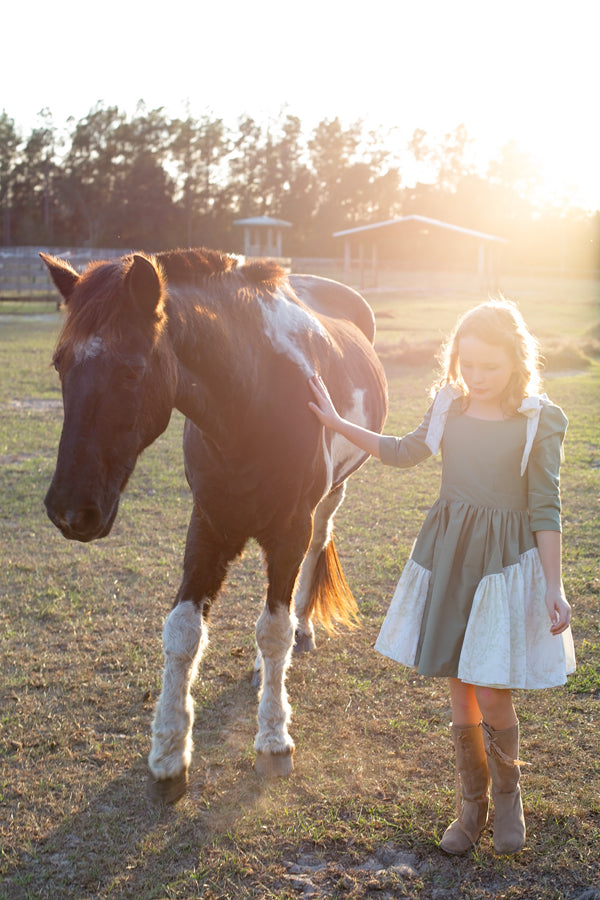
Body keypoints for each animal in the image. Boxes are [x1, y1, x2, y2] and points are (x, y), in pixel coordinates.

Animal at [42, 246, 390, 800]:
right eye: (60, 364)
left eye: (131, 371)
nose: (70, 511)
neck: (252, 401)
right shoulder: (208, 525)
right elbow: (183, 632)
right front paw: (168, 755)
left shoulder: (289, 530)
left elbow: (273, 629)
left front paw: (273, 739)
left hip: (328, 500)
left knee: (315, 554)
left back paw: (303, 631)